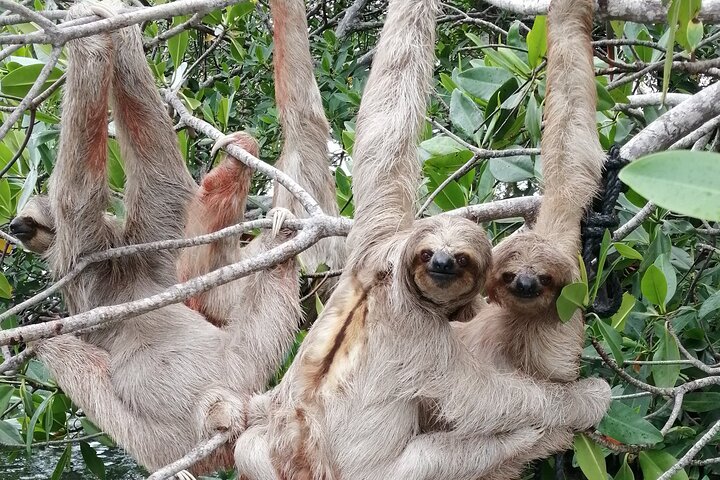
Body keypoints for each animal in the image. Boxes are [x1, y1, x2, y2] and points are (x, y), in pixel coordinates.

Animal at [21, 1, 302, 474]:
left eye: (26, 219)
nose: (13, 228)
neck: (119, 255)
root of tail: (226, 404)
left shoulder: (81, 255)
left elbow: (80, 191)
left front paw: (94, 35)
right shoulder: (150, 238)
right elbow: (159, 173)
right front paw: (111, 29)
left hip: (184, 422)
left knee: (59, 350)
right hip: (247, 364)